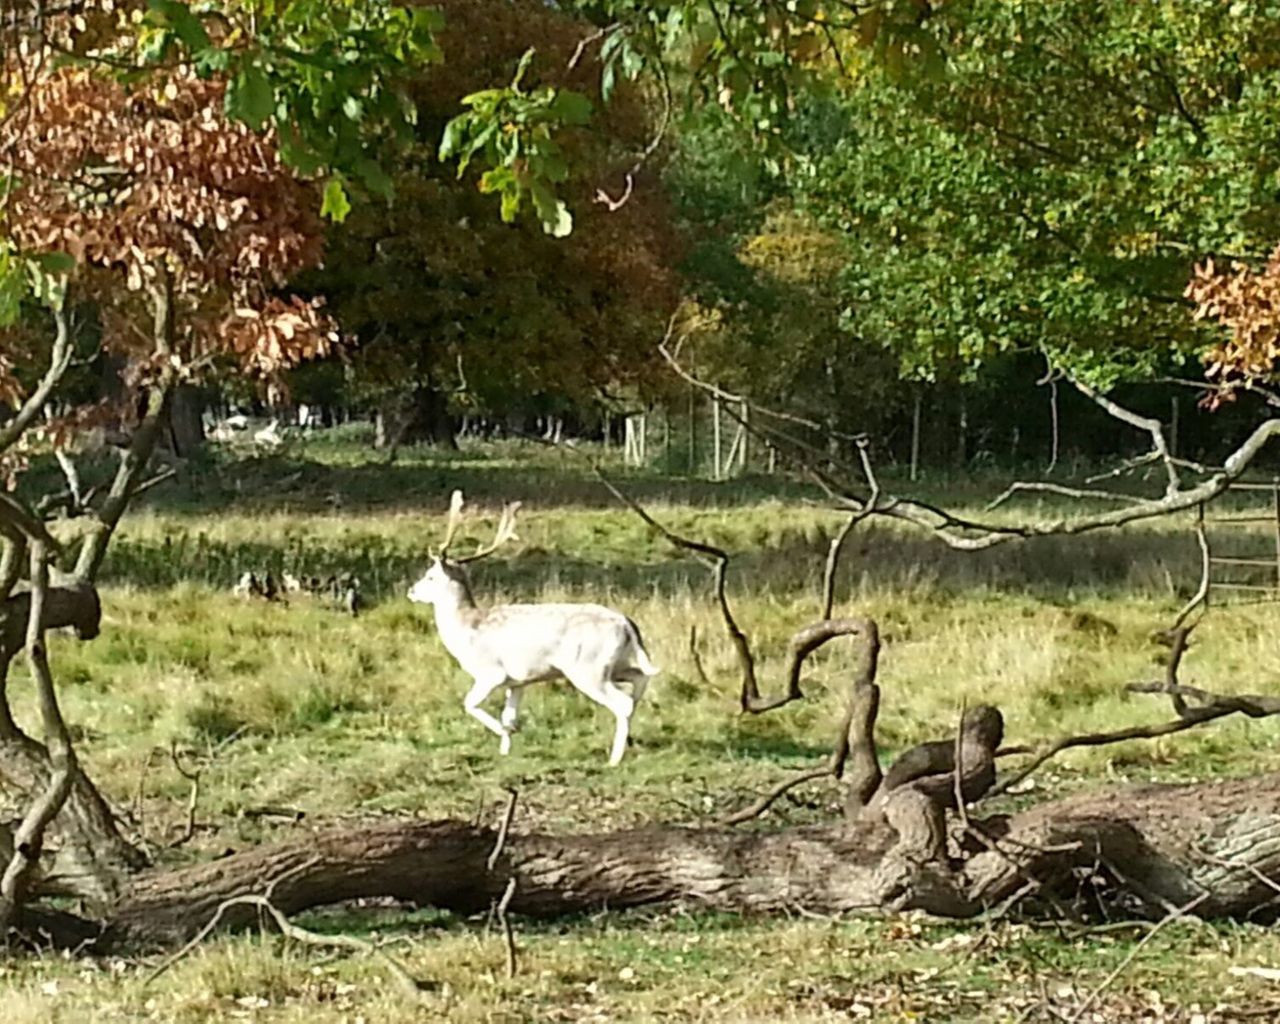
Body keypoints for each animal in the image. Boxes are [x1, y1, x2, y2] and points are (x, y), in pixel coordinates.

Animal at [409, 491, 660, 762]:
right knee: (640, 677)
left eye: (430, 576)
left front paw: (503, 731)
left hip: (588, 668)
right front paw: (506, 748)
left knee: (622, 702)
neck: (467, 631)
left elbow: (469, 704)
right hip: (614, 664)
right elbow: (509, 715)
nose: (411, 591)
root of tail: (626, 623)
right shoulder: (517, 682)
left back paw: (614, 759)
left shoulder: (491, 672)